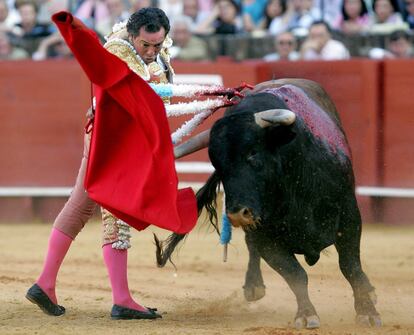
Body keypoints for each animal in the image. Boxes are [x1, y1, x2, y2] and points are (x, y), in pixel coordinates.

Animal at [155, 80, 382, 330]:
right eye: (217, 164)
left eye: (253, 153)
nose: (237, 214)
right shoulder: (266, 238)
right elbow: (295, 275)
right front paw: (306, 314)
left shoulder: (349, 218)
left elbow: (350, 267)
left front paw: (367, 312)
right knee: (252, 246)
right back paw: (253, 286)